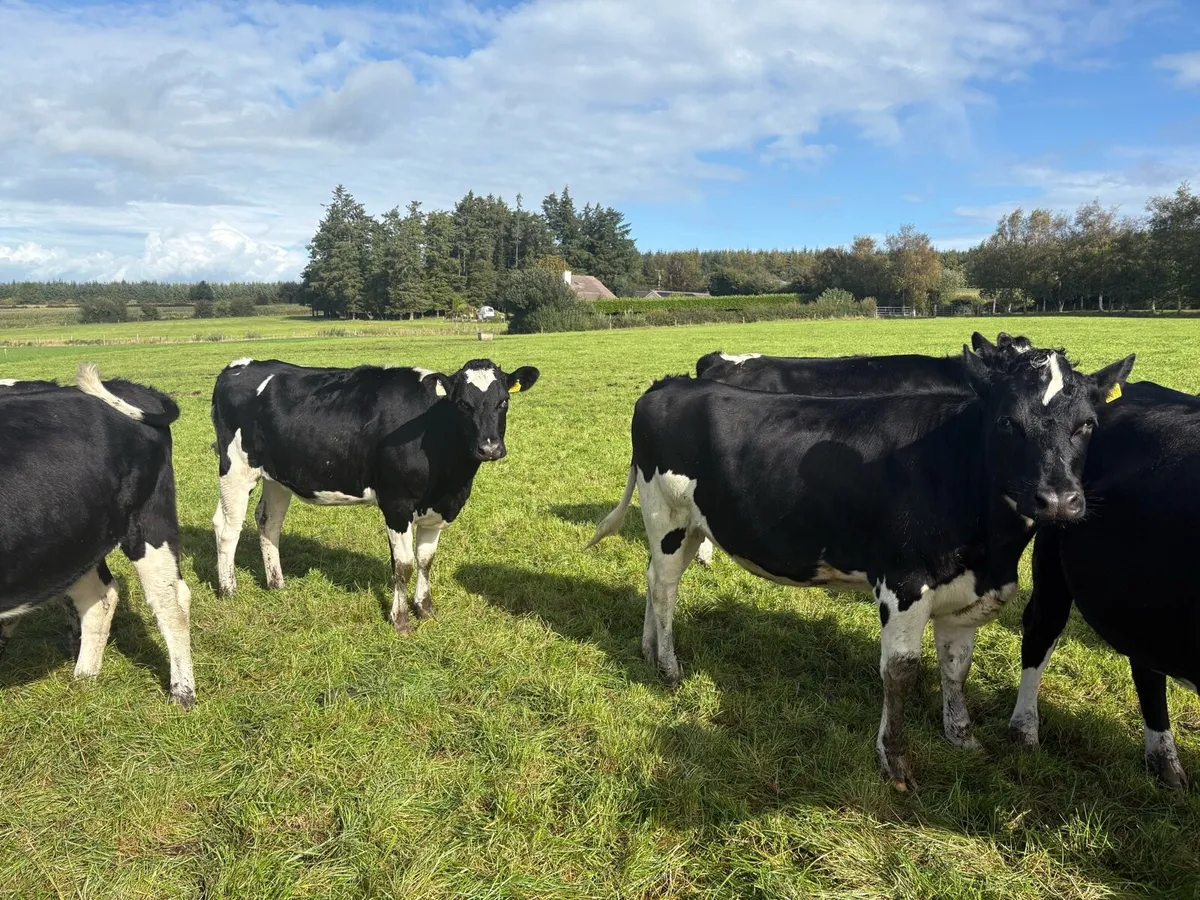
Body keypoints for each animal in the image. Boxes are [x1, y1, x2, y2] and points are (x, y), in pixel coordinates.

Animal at [0, 364, 195, 706]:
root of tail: (128, 385)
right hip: (72, 541)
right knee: (99, 597)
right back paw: (83, 678)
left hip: (149, 520)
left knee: (171, 601)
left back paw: (182, 692)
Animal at [210, 357, 539, 635]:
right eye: (463, 404)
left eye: (503, 401)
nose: (489, 448)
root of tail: (240, 365)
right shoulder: (396, 504)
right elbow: (404, 565)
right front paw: (401, 619)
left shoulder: (438, 509)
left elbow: (426, 561)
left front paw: (425, 610)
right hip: (236, 467)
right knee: (227, 528)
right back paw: (228, 591)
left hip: (278, 476)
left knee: (268, 521)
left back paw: (276, 583)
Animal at [587, 345, 1133, 788]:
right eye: (1006, 422)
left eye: (1087, 424)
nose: (1057, 500)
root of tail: (669, 383)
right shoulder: (904, 583)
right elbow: (901, 672)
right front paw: (894, 761)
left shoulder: (965, 595)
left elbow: (956, 668)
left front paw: (962, 738)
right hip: (667, 515)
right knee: (664, 590)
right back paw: (669, 666)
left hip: (690, 525)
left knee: (652, 578)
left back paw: (647, 650)